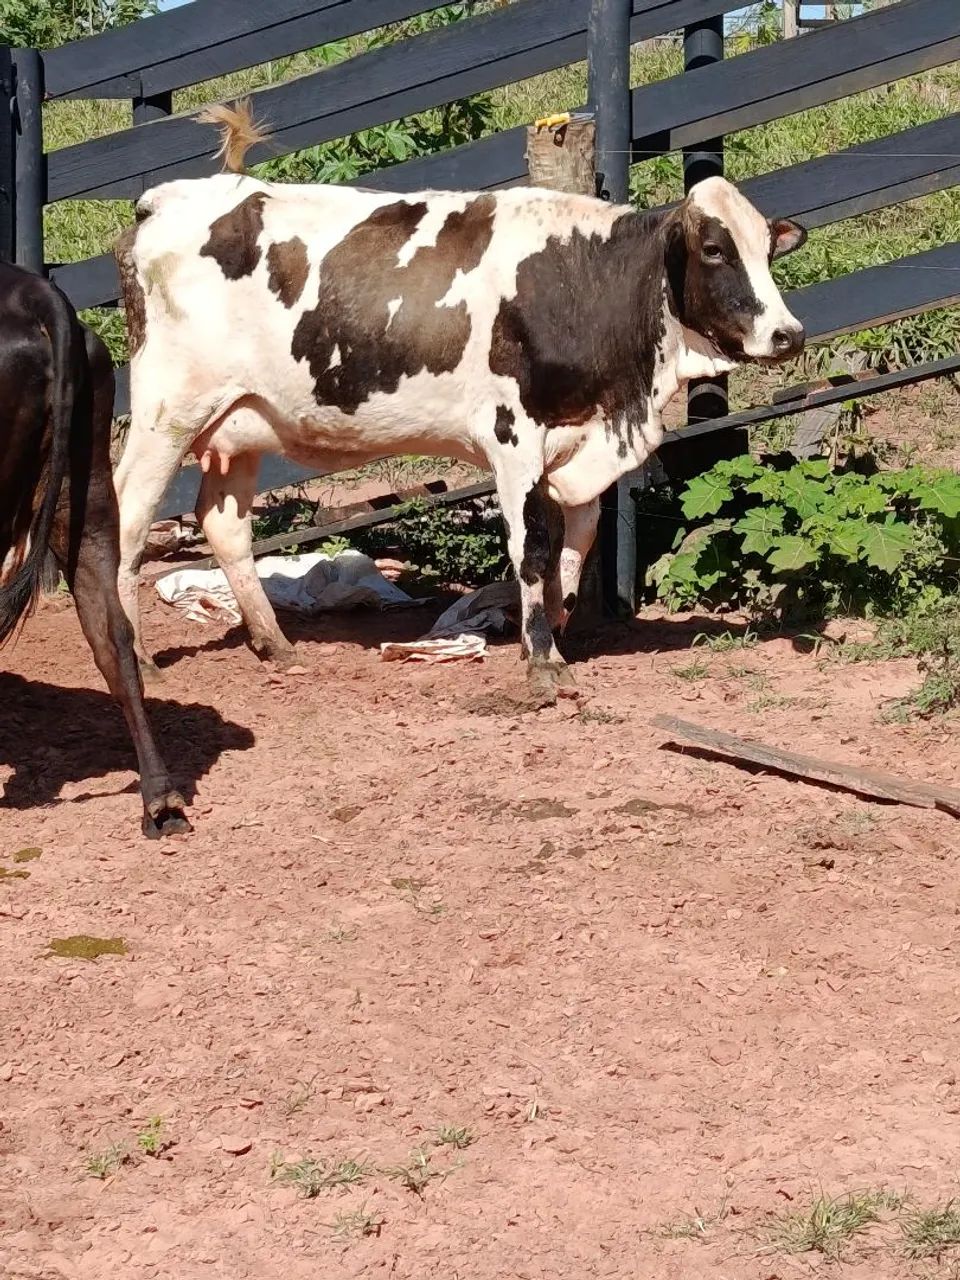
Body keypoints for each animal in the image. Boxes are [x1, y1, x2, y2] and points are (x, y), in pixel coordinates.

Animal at [114, 102, 806, 698]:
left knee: (224, 523)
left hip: (240, 421)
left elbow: (576, 548)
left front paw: (553, 635)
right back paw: (138, 659)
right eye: (714, 250)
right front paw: (541, 664)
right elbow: (532, 550)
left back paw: (274, 643)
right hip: (168, 411)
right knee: (129, 516)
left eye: (768, 250)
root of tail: (166, 200)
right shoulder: (514, 438)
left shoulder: (580, 440)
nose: (788, 334)